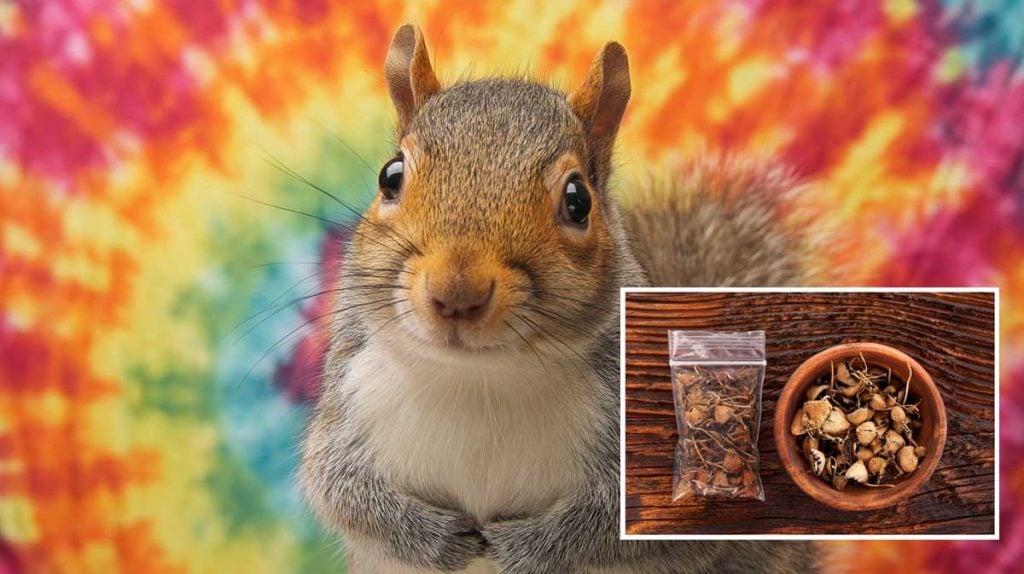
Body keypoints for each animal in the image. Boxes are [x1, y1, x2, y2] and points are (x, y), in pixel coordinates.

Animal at [300, 24, 819, 574]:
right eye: (390, 177)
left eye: (578, 200)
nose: (455, 292)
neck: (478, 379)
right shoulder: (350, 394)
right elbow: (336, 486)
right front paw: (436, 537)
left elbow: (625, 529)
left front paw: (521, 547)